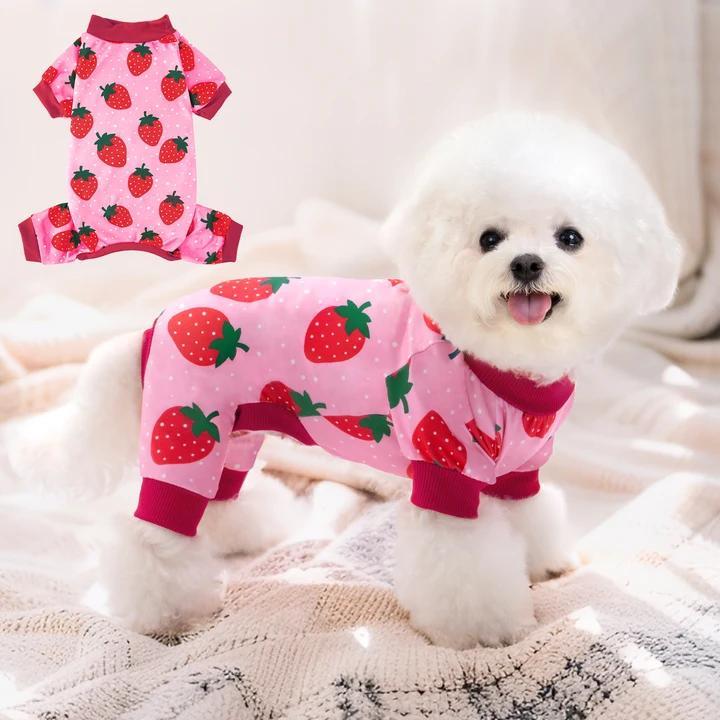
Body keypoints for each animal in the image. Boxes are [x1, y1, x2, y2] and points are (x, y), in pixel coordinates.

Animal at [8, 114, 681, 649]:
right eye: (489, 238)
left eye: (571, 237)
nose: (526, 263)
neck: (498, 364)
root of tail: (152, 323)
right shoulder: (444, 466)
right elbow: (463, 565)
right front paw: (482, 630)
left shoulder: (519, 472)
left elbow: (534, 516)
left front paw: (546, 563)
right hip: (182, 429)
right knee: (153, 530)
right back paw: (168, 612)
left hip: (230, 432)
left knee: (219, 501)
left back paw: (243, 533)